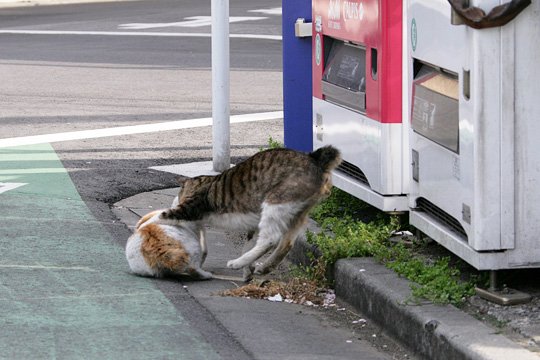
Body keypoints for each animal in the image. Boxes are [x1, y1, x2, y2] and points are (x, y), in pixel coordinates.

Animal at [156, 145, 340, 280]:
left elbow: (162, 215)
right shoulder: (253, 225)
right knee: (286, 243)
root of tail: (315, 159)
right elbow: (247, 243)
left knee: (270, 240)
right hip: (298, 213)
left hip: (276, 201)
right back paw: (264, 267)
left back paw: (237, 263)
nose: (176, 200)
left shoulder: (190, 208)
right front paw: (248, 269)